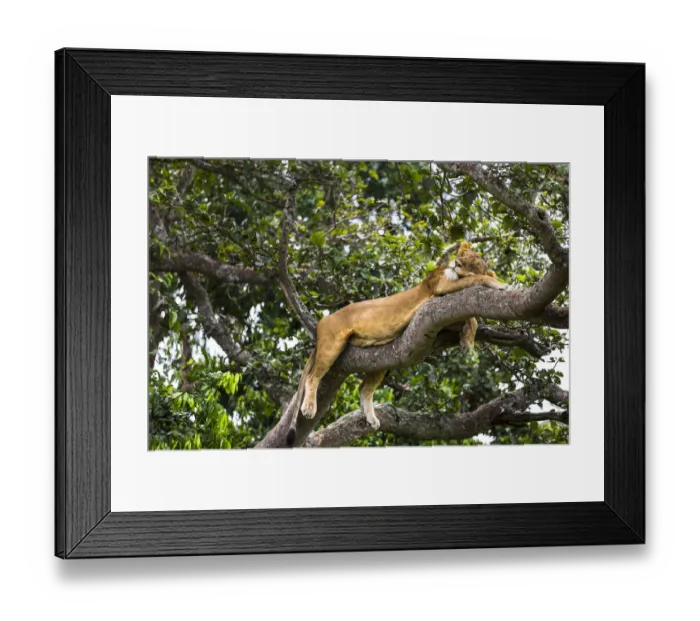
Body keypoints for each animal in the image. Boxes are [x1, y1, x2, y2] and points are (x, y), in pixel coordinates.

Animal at [284, 249, 506, 445]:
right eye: (461, 255)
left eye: (472, 263)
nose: (456, 263)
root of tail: (322, 323)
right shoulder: (442, 286)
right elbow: (475, 282)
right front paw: (500, 284)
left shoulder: (446, 317)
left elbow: (472, 316)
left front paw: (468, 342)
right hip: (331, 344)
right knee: (312, 376)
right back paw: (309, 408)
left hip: (379, 361)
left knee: (364, 388)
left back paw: (372, 419)